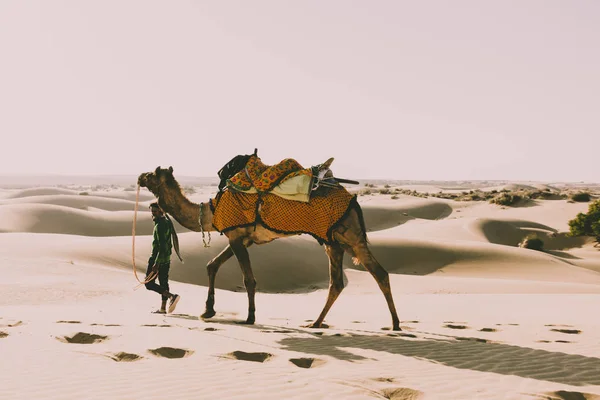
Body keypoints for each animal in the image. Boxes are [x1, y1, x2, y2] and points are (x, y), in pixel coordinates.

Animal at [138, 166, 400, 332]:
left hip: (349, 235)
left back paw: (393, 324)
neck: (211, 212)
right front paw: (208, 311)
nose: (140, 176)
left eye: (152, 173)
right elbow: (211, 265)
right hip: (333, 241)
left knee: (375, 273)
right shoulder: (241, 239)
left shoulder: (237, 237)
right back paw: (319, 323)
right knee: (343, 281)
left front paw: (250, 317)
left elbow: (248, 279)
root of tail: (354, 200)